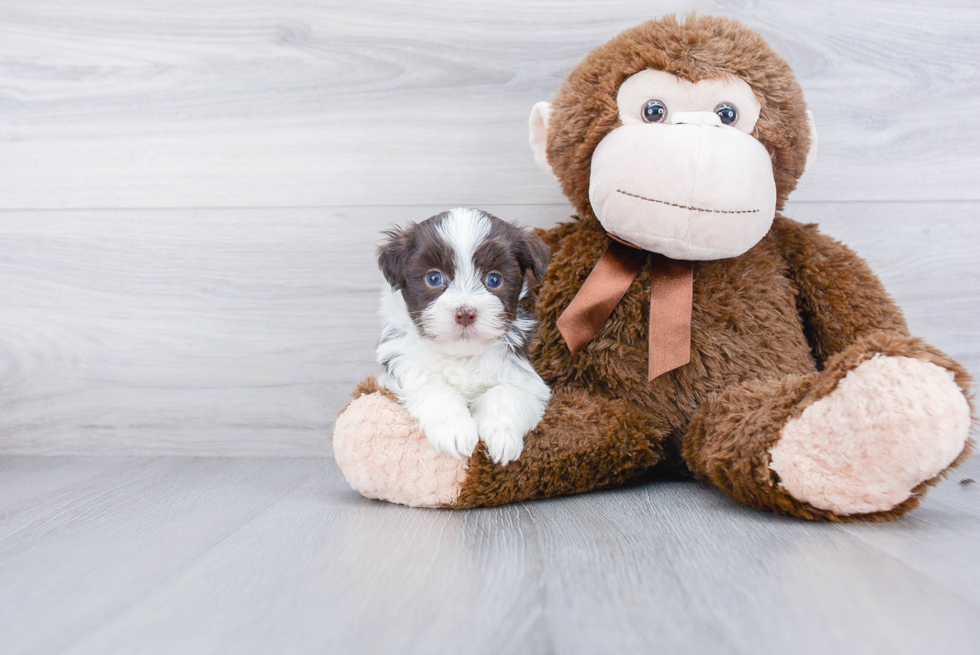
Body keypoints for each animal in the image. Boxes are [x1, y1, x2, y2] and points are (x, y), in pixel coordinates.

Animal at [378, 208, 552, 464]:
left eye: (493, 280)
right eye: (434, 278)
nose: (465, 313)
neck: (463, 355)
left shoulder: (523, 376)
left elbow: (506, 394)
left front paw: (502, 436)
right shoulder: (405, 365)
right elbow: (434, 388)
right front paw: (455, 430)